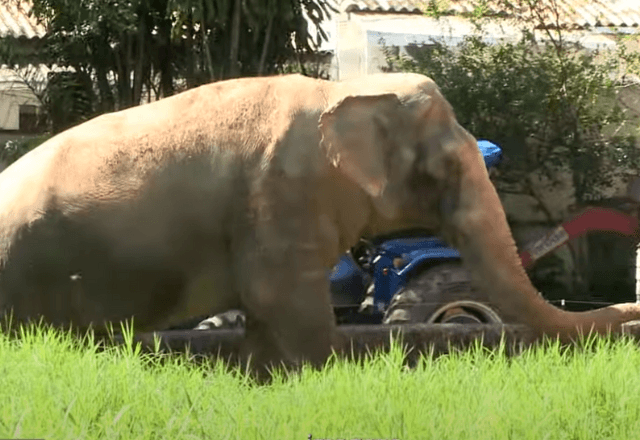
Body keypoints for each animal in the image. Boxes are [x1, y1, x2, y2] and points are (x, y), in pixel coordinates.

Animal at [1, 72, 640, 373]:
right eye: (444, 168)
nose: (632, 314)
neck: (349, 89)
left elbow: (267, 318)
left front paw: (259, 384)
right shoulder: (283, 195)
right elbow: (286, 304)